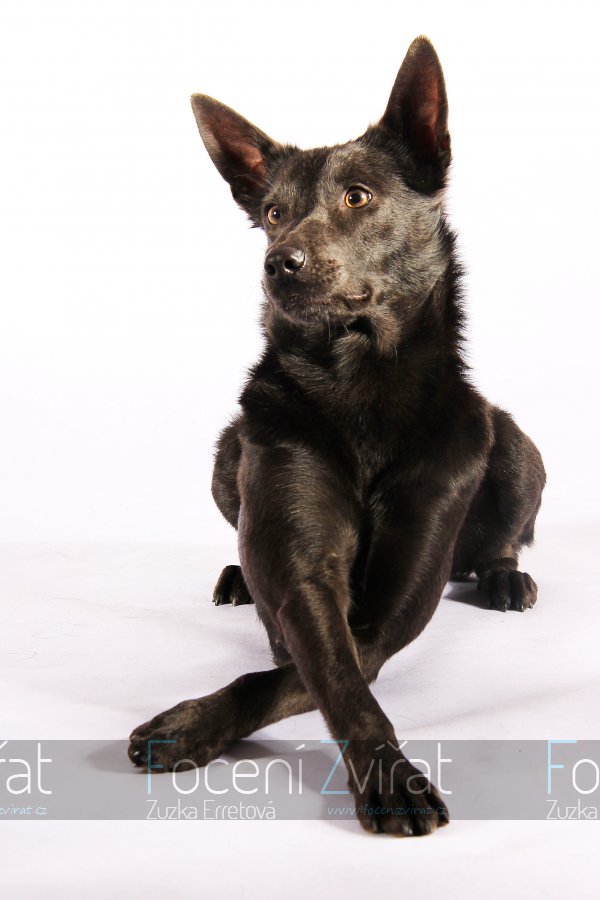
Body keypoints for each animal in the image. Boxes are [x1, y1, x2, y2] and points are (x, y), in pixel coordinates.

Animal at [128, 35, 546, 836]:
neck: (359, 388)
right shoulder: (303, 571)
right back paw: (236, 575)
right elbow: (318, 671)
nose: (277, 263)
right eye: (273, 211)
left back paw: (502, 574)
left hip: (510, 442)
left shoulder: (392, 606)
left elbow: (316, 674)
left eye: (358, 196)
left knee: (505, 528)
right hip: (230, 449)